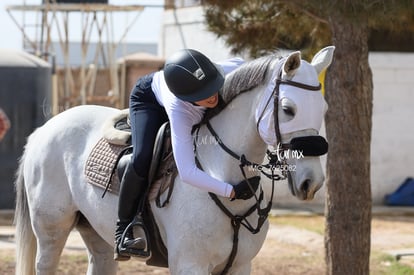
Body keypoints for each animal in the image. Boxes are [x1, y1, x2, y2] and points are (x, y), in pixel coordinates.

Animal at [14, 46, 334, 274]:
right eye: (288, 109)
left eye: (323, 108)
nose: (312, 182)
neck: (223, 175)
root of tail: (43, 129)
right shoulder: (190, 265)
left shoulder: (241, 266)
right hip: (51, 232)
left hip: (95, 234)